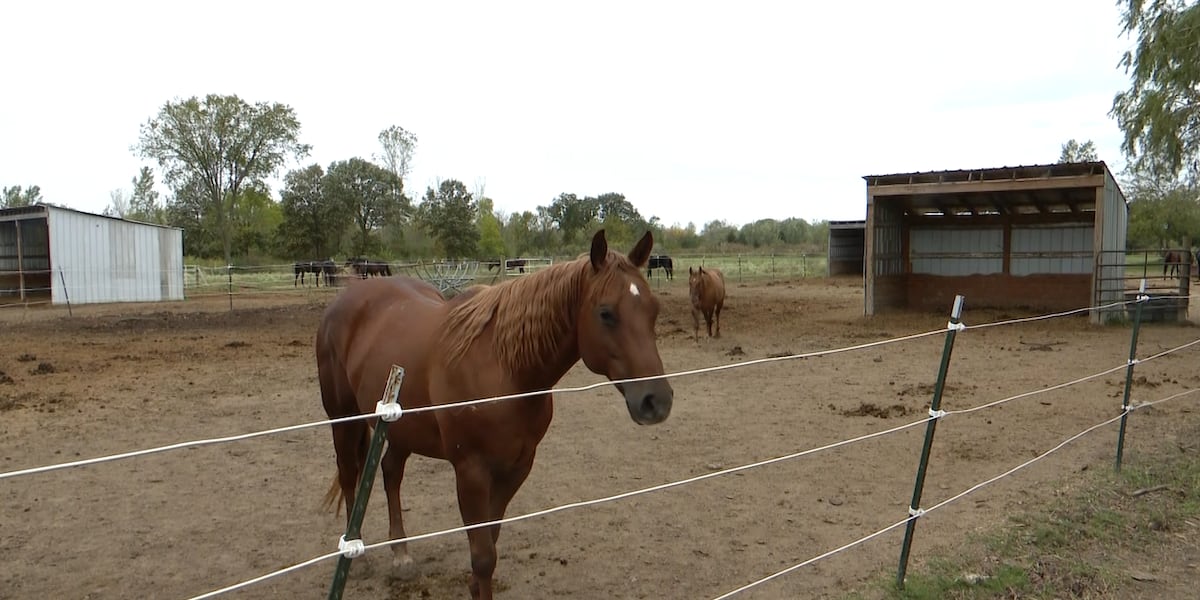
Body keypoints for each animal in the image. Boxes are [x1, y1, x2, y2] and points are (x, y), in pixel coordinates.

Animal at [316, 229, 676, 600]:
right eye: (606, 313)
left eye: (653, 310)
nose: (656, 400)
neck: (504, 369)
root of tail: (347, 297)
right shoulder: (471, 471)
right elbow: (483, 555)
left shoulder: (516, 467)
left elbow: (491, 542)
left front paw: (475, 584)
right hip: (343, 419)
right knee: (349, 474)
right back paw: (355, 553)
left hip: (401, 427)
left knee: (390, 471)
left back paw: (401, 553)